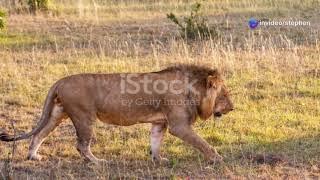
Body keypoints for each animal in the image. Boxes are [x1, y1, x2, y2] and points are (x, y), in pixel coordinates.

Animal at [0, 64, 235, 165]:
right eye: (224, 94)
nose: (232, 108)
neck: (192, 88)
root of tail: (60, 81)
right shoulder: (179, 125)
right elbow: (202, 142)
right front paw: (217, 158)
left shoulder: (160, 122)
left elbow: (155, 142)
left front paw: (158, 159)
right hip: (84, 117)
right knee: (81, 145)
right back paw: (97, 162)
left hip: (58, 114)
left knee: (39, 134)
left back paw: (33, 156)